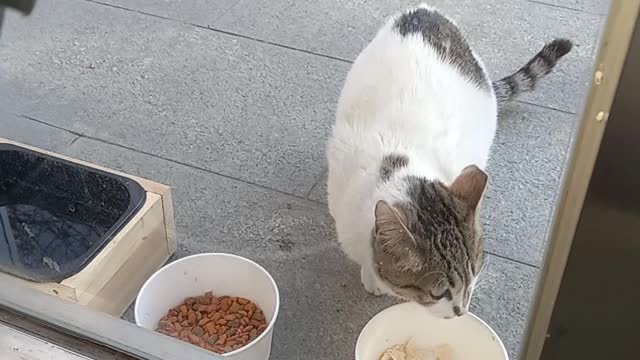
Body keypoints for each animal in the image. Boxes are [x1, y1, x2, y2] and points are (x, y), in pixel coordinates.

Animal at [328, 2, 572, 318]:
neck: (403, 164)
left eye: (475, 274)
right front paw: (371, 277)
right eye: (438, 292)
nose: (461, 311)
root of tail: (425, 10)